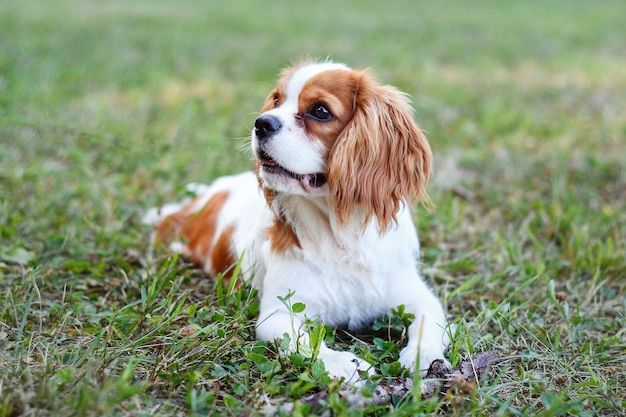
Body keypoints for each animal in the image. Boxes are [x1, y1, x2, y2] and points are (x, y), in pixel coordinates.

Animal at [145, 61, 448, 384]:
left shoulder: (417, 297)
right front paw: (346, 364)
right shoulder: (278, 314)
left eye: (320, 111)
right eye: (276, 101)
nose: (261, 123)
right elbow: (306, 341)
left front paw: (424, 358)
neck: (340, 232)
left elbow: (429, 322)